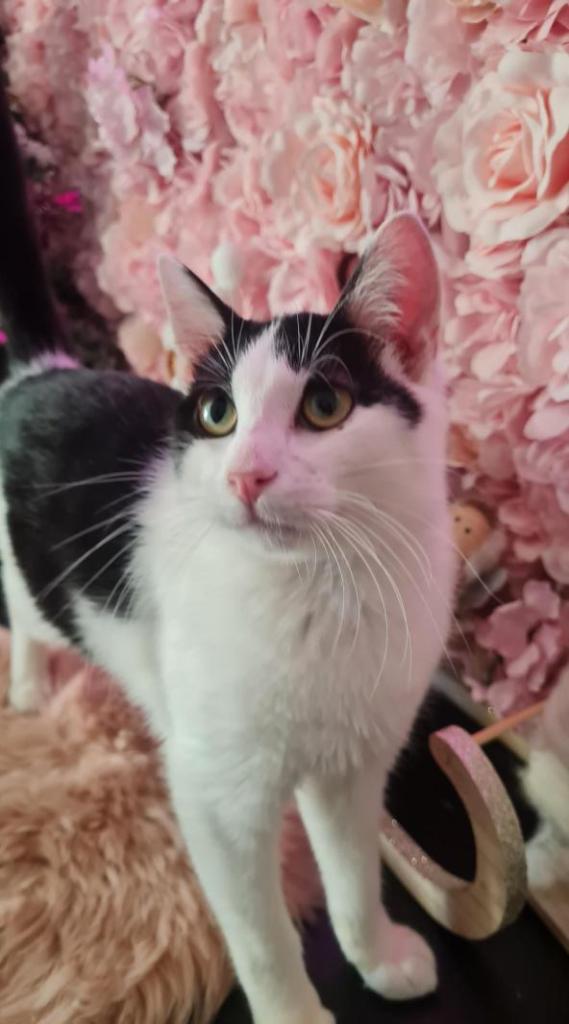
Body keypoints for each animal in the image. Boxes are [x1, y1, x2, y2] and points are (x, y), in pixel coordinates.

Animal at [0, 83, 454, 1024]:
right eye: (217, 415)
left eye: (324, 406)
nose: (246, 474)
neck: (319, 594)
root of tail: (45, 371)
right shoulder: (217, 796)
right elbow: (262, 934)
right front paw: (293, 1012)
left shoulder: (353, 769)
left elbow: (354, 875)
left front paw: (377, 954)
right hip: (24, 569)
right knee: (23, 614)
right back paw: (26, 685)